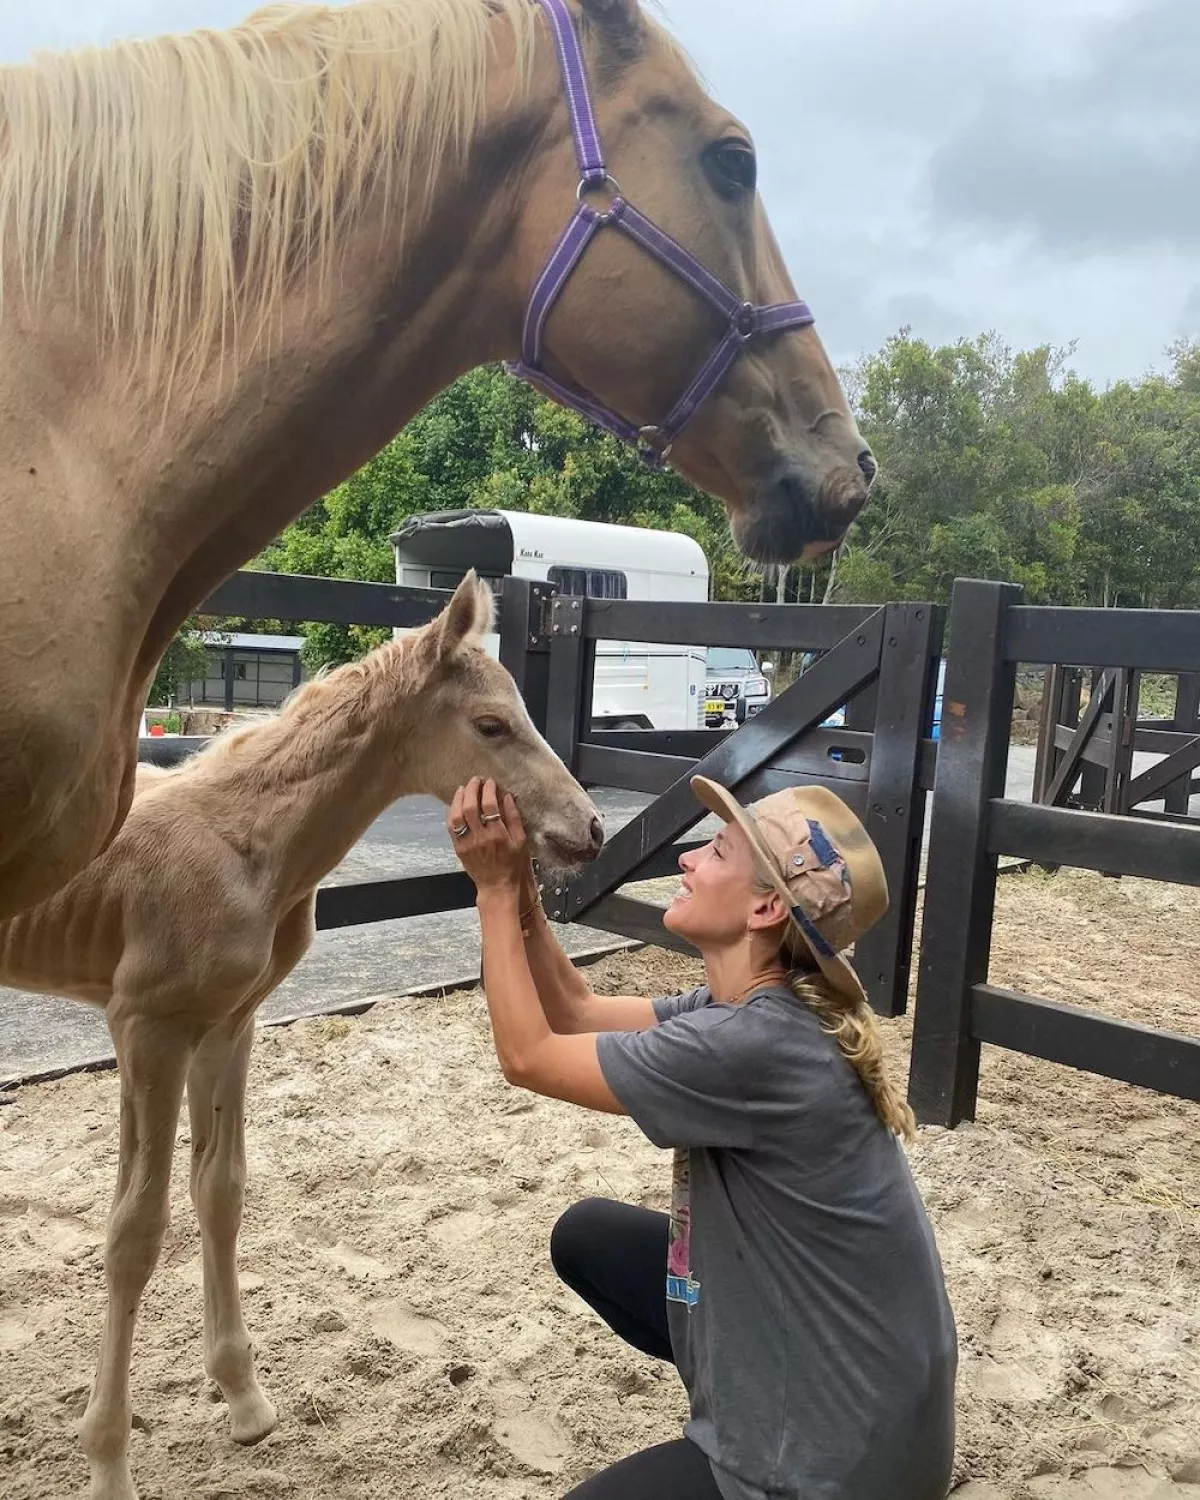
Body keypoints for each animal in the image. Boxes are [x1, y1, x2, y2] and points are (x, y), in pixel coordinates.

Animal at [0, 575, 603, 1500]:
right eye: (491, 725)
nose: (591, 829)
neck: (247, 843)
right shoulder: (146, 1027)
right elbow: (134, 1233)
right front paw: (107, 1463)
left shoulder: (228, 1025)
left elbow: (220, 1191)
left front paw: (244, 1400)